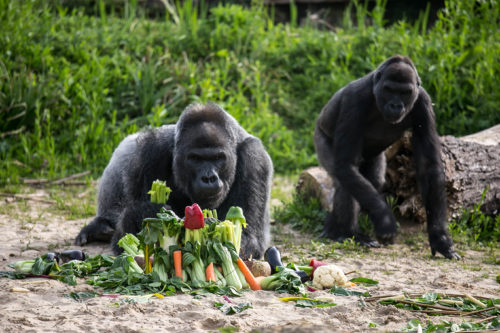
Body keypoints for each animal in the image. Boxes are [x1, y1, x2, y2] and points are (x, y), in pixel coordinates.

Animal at [73, 102, 274, 258]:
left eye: (218, 158)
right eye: (195, 158)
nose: (208, 178)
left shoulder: (255, 159)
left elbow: (247, 240)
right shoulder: (151, 150)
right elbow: (125, 238)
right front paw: (153, 212)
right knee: (125, 147)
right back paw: (102, 223)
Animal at [314, 54, 458, 258]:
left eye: (405, 92)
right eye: (389, 89)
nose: (395, 105)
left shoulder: (423, 101)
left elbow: (428, 166)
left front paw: (440, 237)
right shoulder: (355, 99)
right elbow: (345, 164)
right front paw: (385, 219)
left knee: (372, 180)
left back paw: (333, 226)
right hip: (320, 137)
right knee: (344, 176)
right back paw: (348, 233)